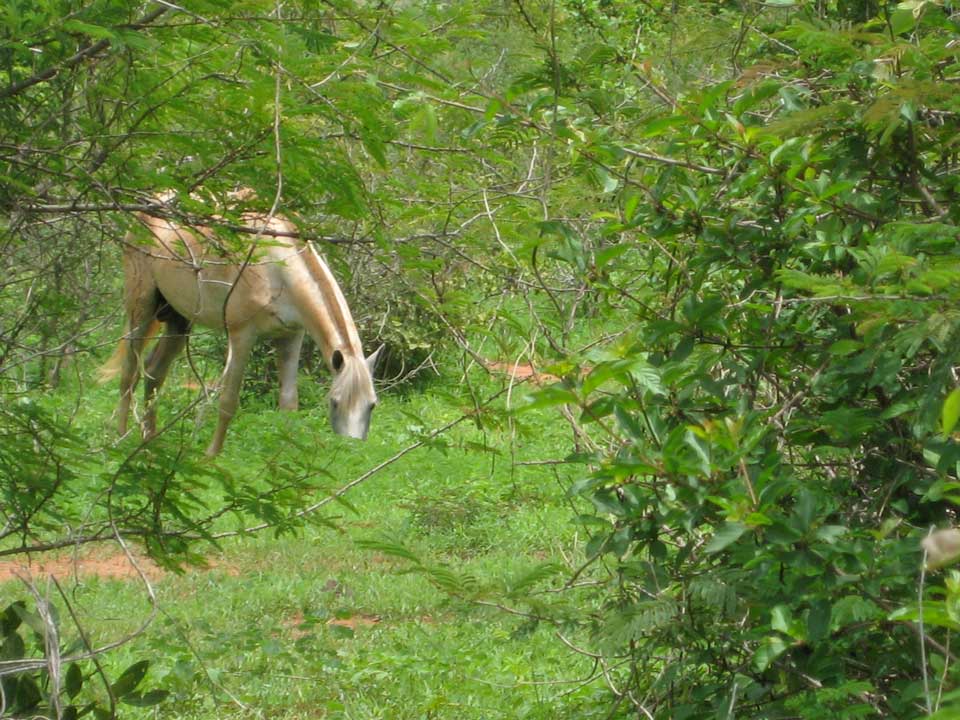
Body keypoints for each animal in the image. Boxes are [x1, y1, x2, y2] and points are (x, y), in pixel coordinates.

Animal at [101, 195, 378, 456]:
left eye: (372, 404)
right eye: (335, 401)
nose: (351, 447)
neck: (277, 267)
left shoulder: (291, 336)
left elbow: (289, 403)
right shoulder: (242, 335)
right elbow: (228, 401)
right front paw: (210, 456)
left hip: (179, 320)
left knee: (154, 372)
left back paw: (149, 440)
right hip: (141, 306)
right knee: (130, 371)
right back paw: (120, 437)